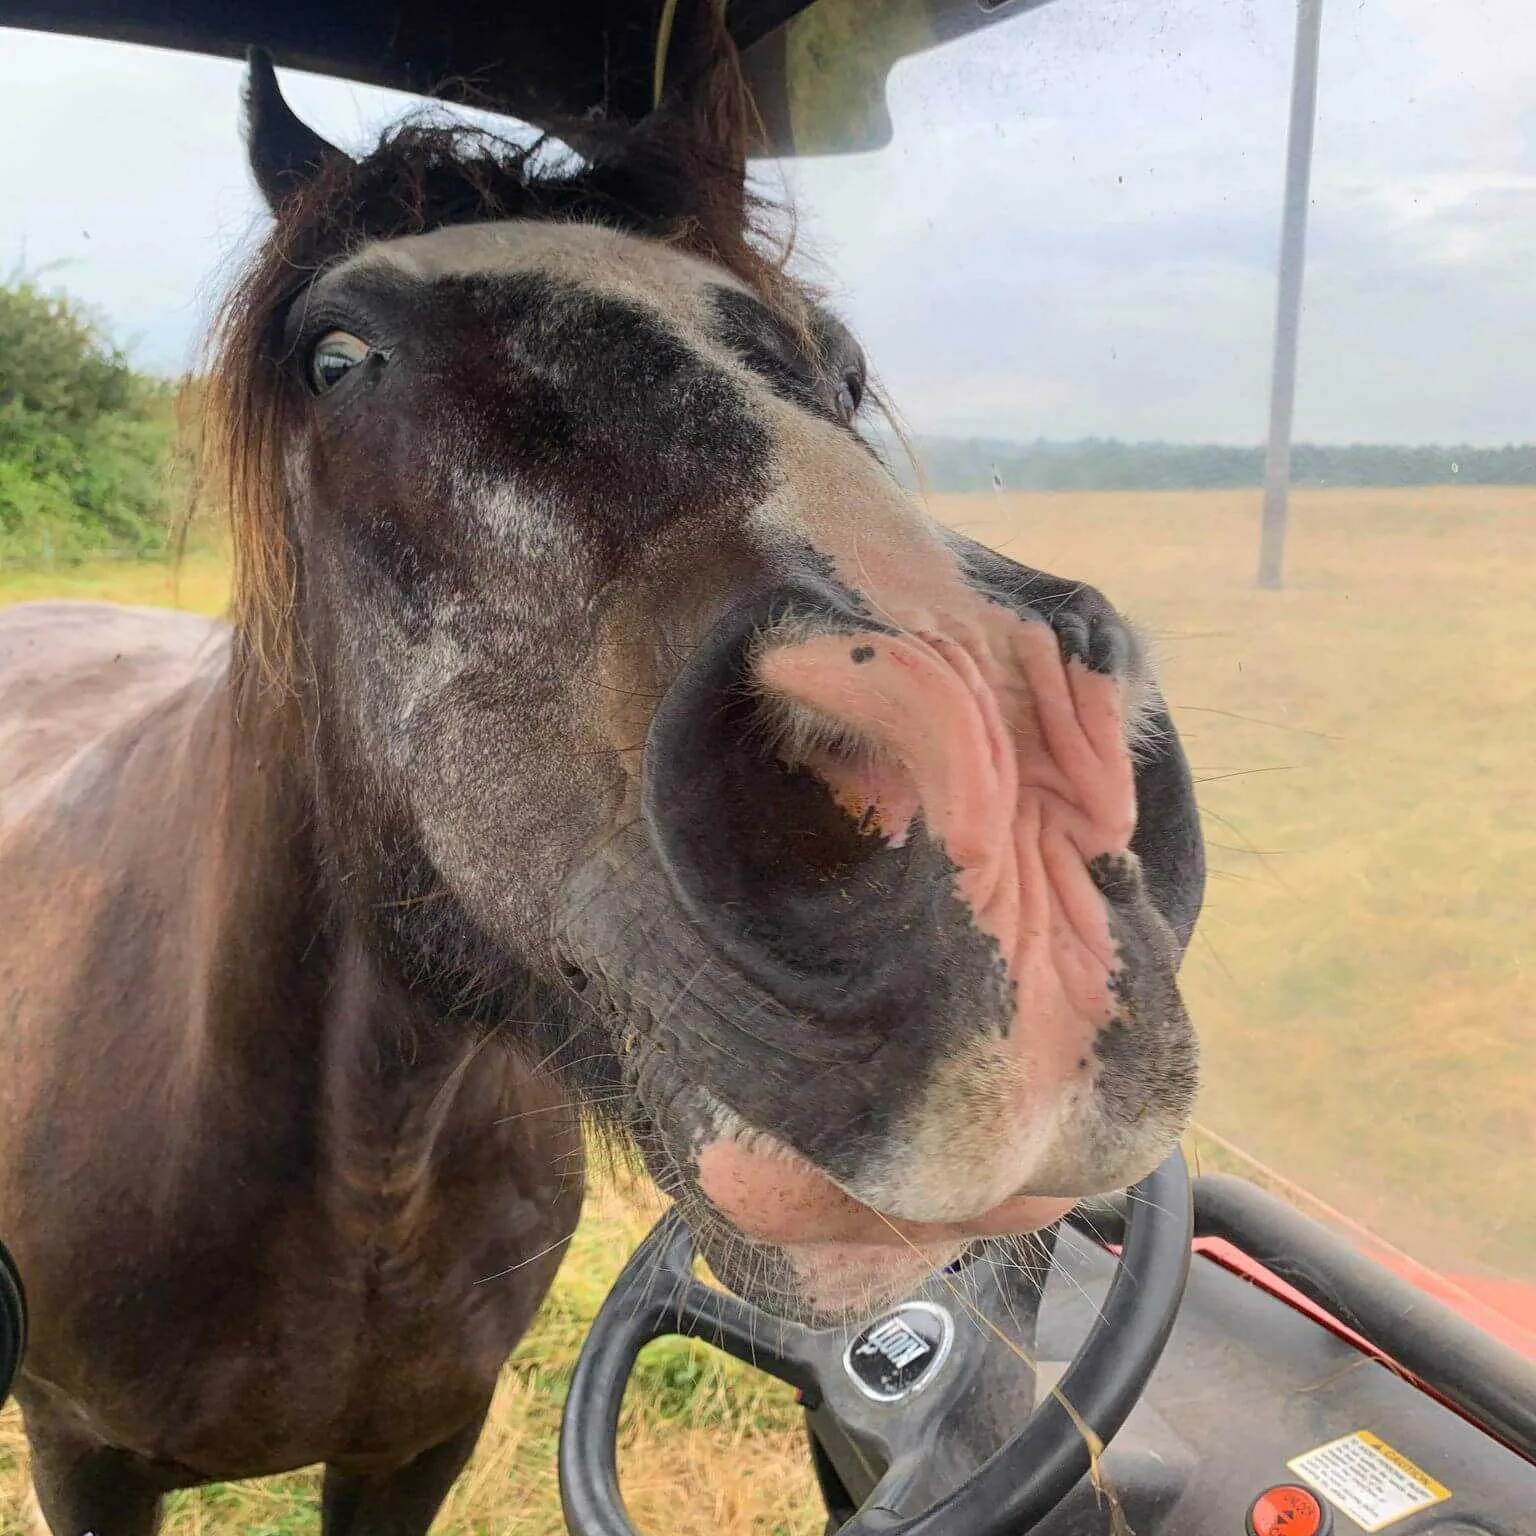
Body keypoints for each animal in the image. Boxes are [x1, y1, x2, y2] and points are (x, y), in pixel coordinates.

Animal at [0, 18, 1203, 1534]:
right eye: (336, 357)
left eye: (843, 368)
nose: (1021, 819)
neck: (357, 1179)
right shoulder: (83, 1456)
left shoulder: (420, 1444)